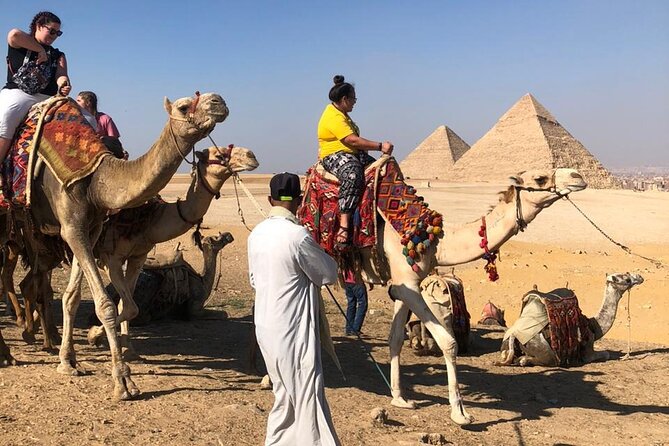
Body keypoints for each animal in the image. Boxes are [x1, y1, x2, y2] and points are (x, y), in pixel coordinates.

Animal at [1, 92, 229, 400]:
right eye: (183, 107)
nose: (219, 102)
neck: (96, 178)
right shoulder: (75, 229)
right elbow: (106, 304)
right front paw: (123, 380)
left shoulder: (91, 230)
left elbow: (72, 298)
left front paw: (68, 361)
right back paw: (11, 350)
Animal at [75, 145, 258, 357]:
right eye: (218, 154)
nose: (251, 156)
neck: (151, 220)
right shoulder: (111, 258)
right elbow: (126, 305)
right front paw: (94, 336)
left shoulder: (138, 256)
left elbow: (127, 305)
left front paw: (128, 349)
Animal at [352, 162, 587, 425]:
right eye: (540, 178)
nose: (578, 176)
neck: (435, 242)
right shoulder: (408, 285)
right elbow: (449, 342)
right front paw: (460, 413)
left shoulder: (404, 283)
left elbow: (395, 339)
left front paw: (400, 399)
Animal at [497, 272, 644, 367]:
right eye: (627, 279)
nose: (639, 277)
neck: (592, 325)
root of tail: (514, 335)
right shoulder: (587, 350)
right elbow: (606, 354)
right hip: (543, 348)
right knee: (549, 360)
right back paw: (523, 360)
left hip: (506, 344)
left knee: (505, 354)